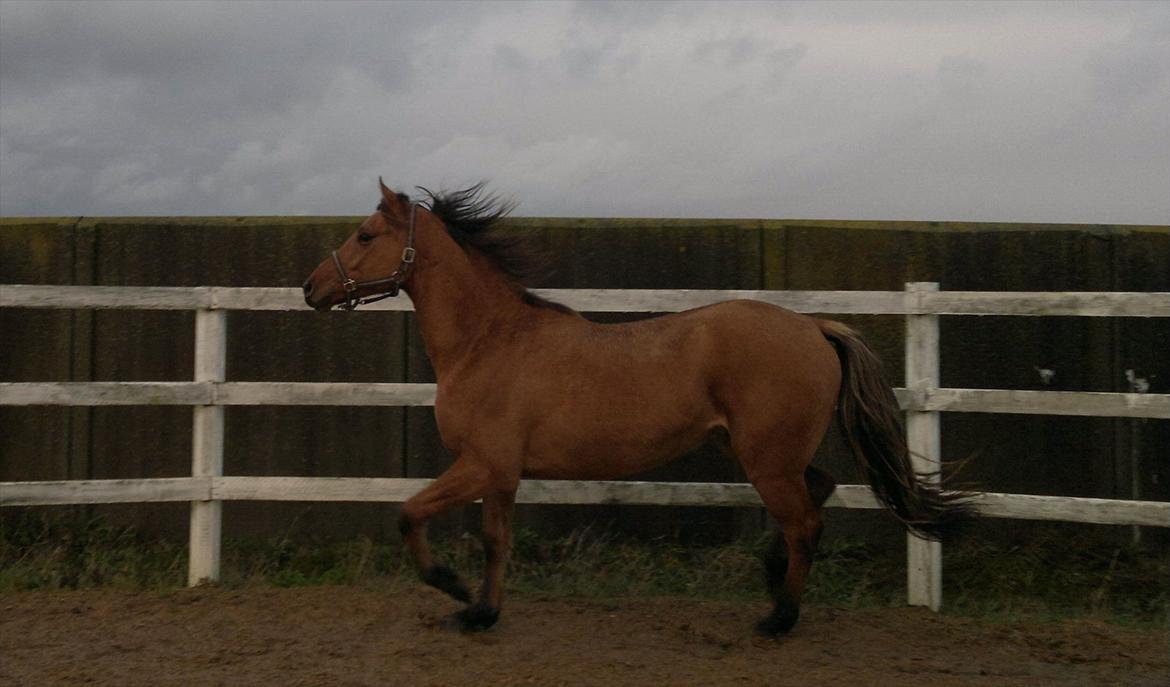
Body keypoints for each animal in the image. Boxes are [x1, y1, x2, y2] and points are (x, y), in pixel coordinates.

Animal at [302, 179, 972, 636]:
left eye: (365, 235)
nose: (311, 287)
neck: (489, 341)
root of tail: (815, 327)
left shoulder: (481, 464)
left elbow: (408, 513)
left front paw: (452, 587)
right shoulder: (500, 474)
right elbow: (496, 540)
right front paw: (482, 612)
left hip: (765, 459)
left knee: (804, 521)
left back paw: (778, 617)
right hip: (762, 451)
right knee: (819, 492)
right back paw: (772, 577)